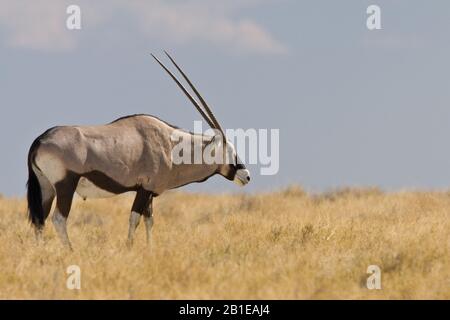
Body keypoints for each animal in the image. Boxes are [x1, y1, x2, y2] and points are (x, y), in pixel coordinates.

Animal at [26, 52, 251, 250]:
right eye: (229, 151)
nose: (246, 176)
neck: (170, 145)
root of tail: (40, 140)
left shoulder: (149, 192)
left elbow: (149, 220)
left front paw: (149, 249)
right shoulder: (144, 188)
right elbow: (134, 218)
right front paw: (129, 247)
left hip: (46, 187)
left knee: (40, 219)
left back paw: (41, 252)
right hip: (65, 184)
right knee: (58, 219)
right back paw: (70, 251)